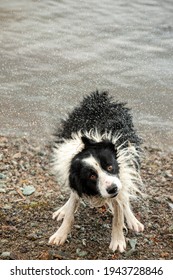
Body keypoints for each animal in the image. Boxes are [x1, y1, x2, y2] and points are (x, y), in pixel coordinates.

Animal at [48, 91, 144, 253]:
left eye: (110, 167)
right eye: (92, 176)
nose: (112, 189)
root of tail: (100, 95)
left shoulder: (120, 176)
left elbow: (118, 214)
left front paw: (118, 241)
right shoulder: (75, 180)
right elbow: (70, 211)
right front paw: (60, 234)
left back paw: (132, 221)